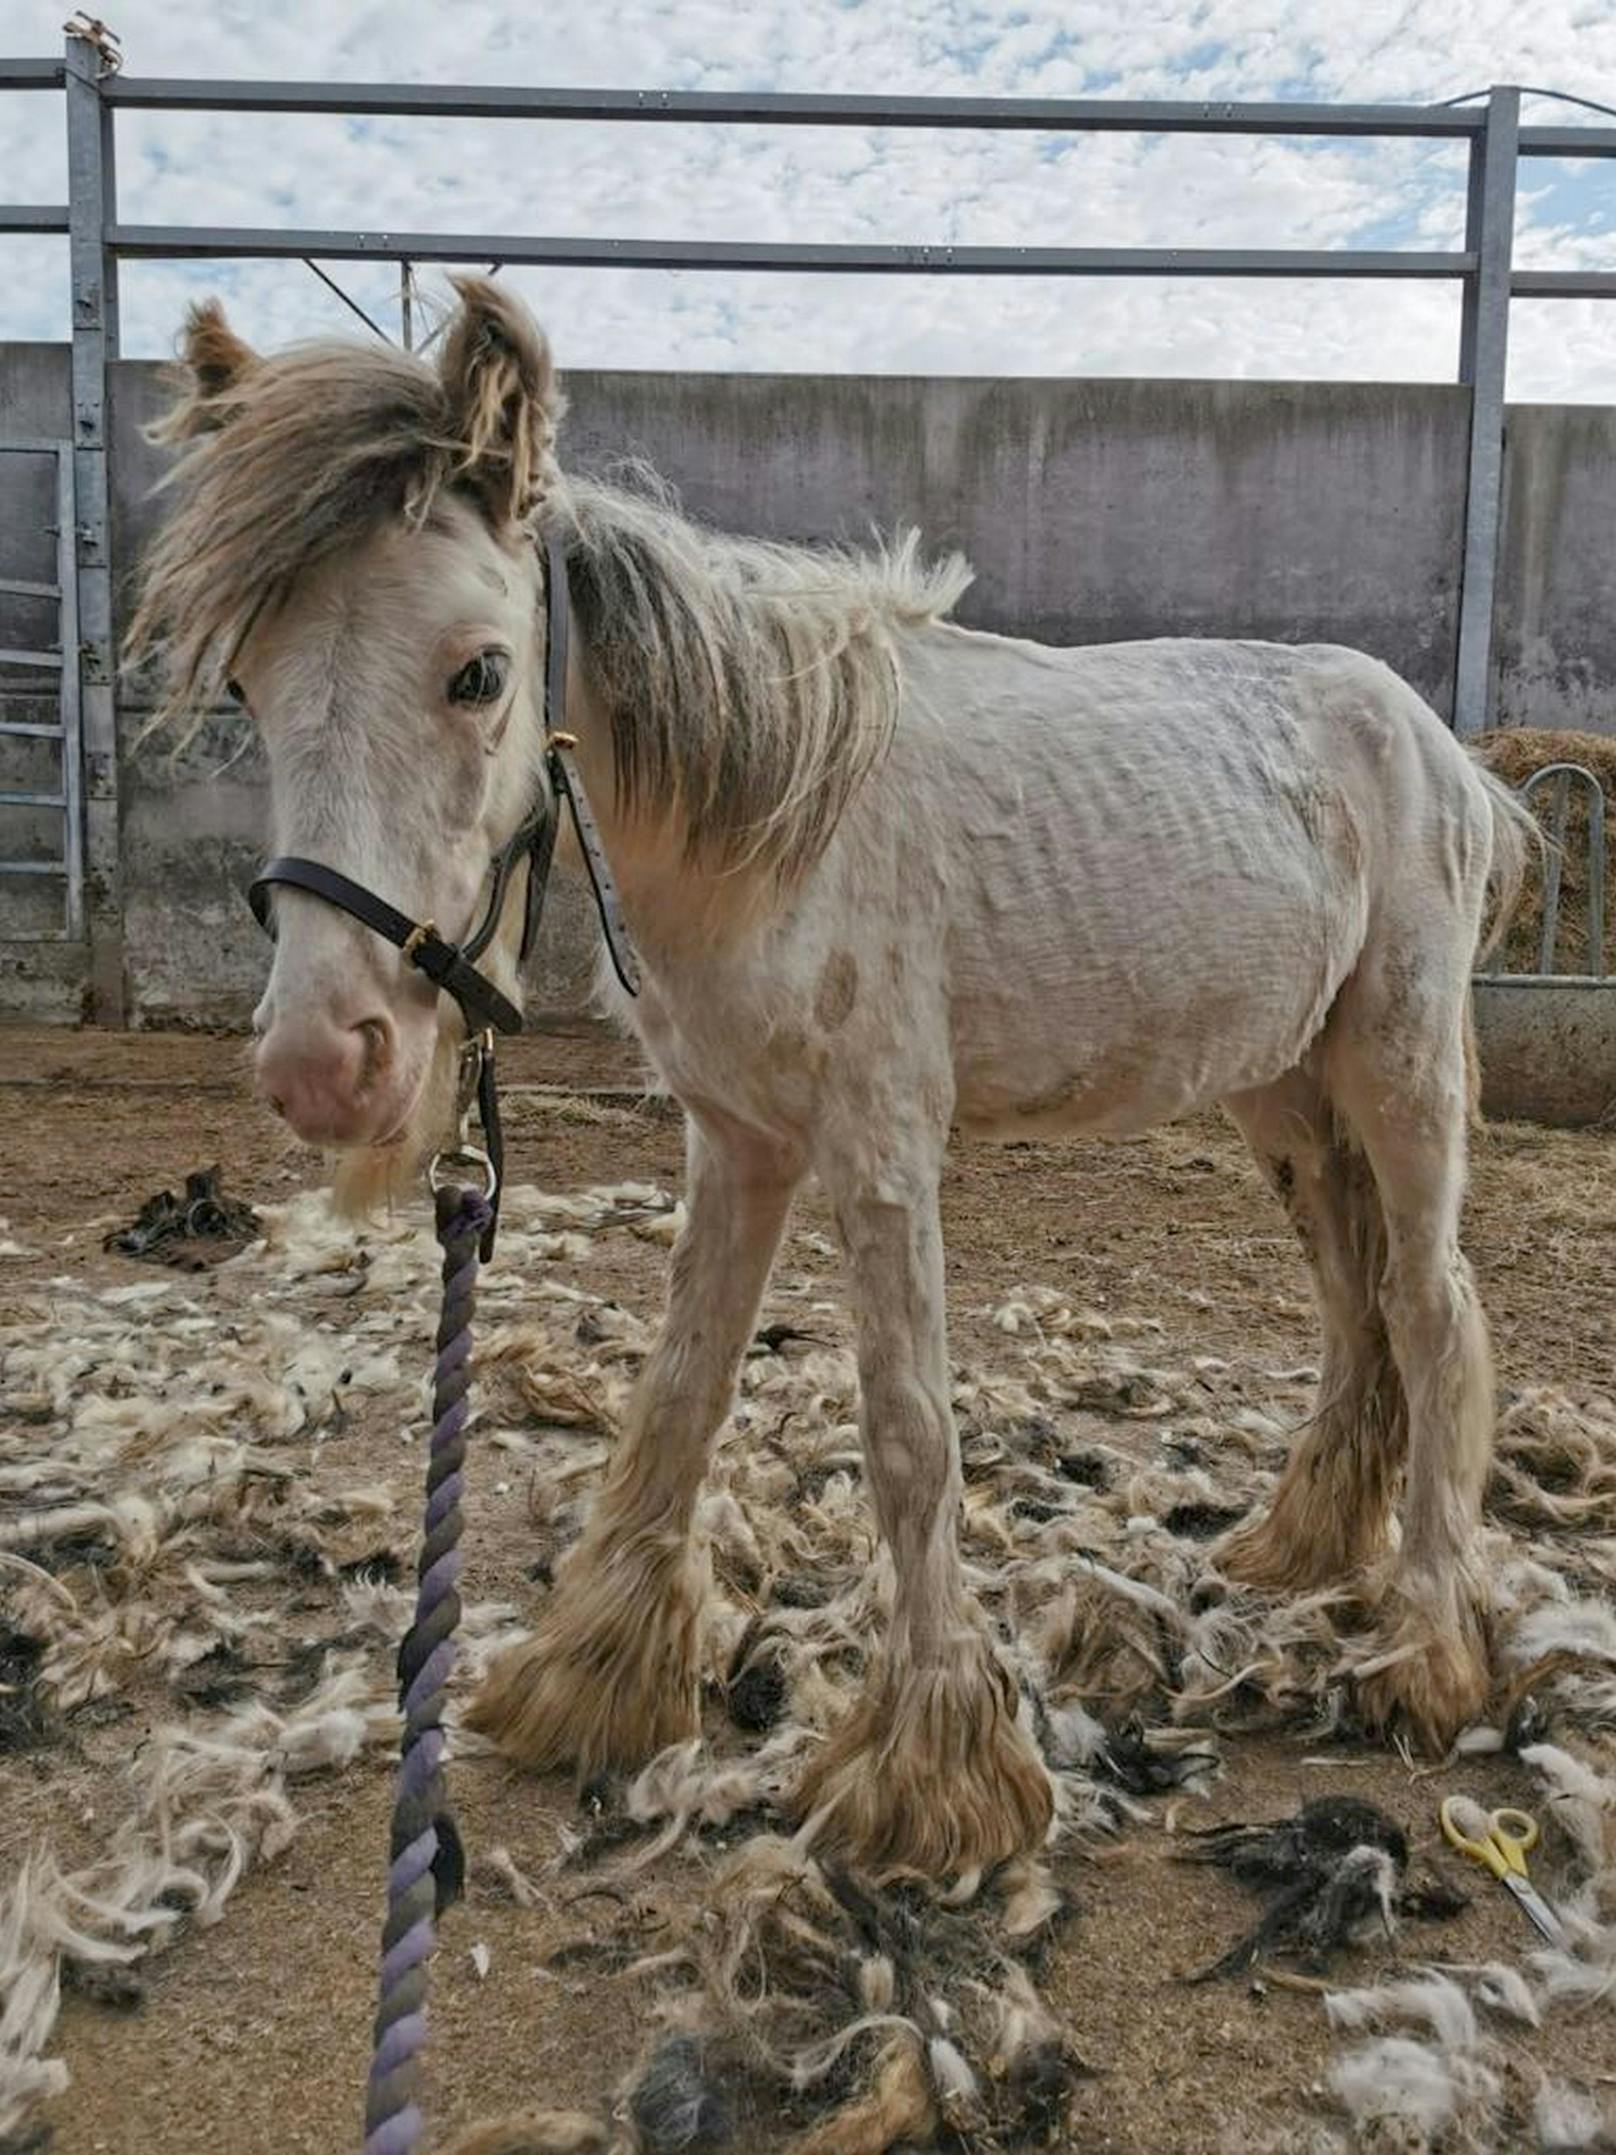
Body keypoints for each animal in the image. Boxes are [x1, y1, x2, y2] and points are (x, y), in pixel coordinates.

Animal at [133, 282, 1534, 1870]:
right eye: (246, 679)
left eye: (477, 670)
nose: (324, 1060)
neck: (777, 826)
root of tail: (1441, 749)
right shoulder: (739, 1142)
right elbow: (679, 1393)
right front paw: (588, 1678)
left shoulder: (878, 1149)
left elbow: (909, 1430)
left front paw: (932, 1773)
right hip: (1282, 1090)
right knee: (1354, 1297)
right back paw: (1301, 1545)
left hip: (1400, 1071)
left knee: (1429, 1308)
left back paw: (1426, 1646)